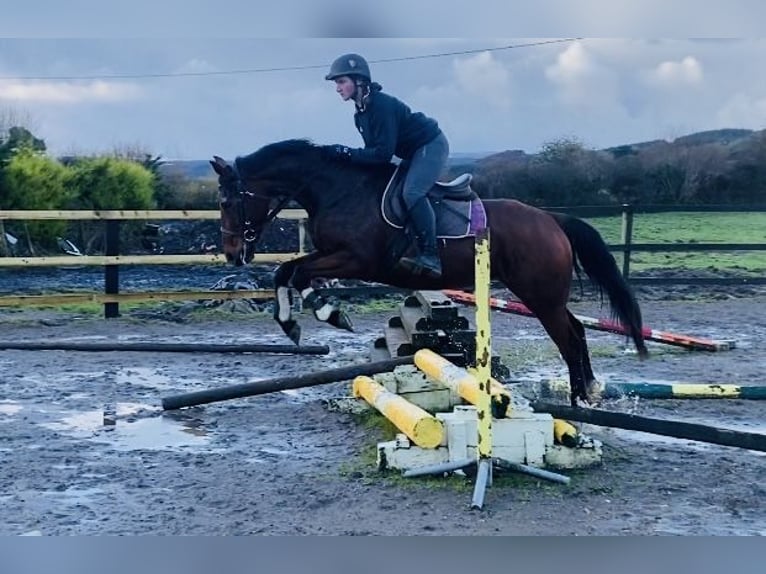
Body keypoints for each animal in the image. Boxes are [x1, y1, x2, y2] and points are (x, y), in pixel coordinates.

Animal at [210, 140, 648, 408]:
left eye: (228, 201)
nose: (232, 255)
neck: (336, 188)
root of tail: (552, 220)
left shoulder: (355, 259)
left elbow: (297, 273)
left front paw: (326, 314)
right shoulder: (332, 255)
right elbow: (287, 271)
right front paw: (298, 322)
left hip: (539, 295)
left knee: (569, 338)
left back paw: (581, 402)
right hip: (545, 295)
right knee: (577, 330)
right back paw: (589, 391)